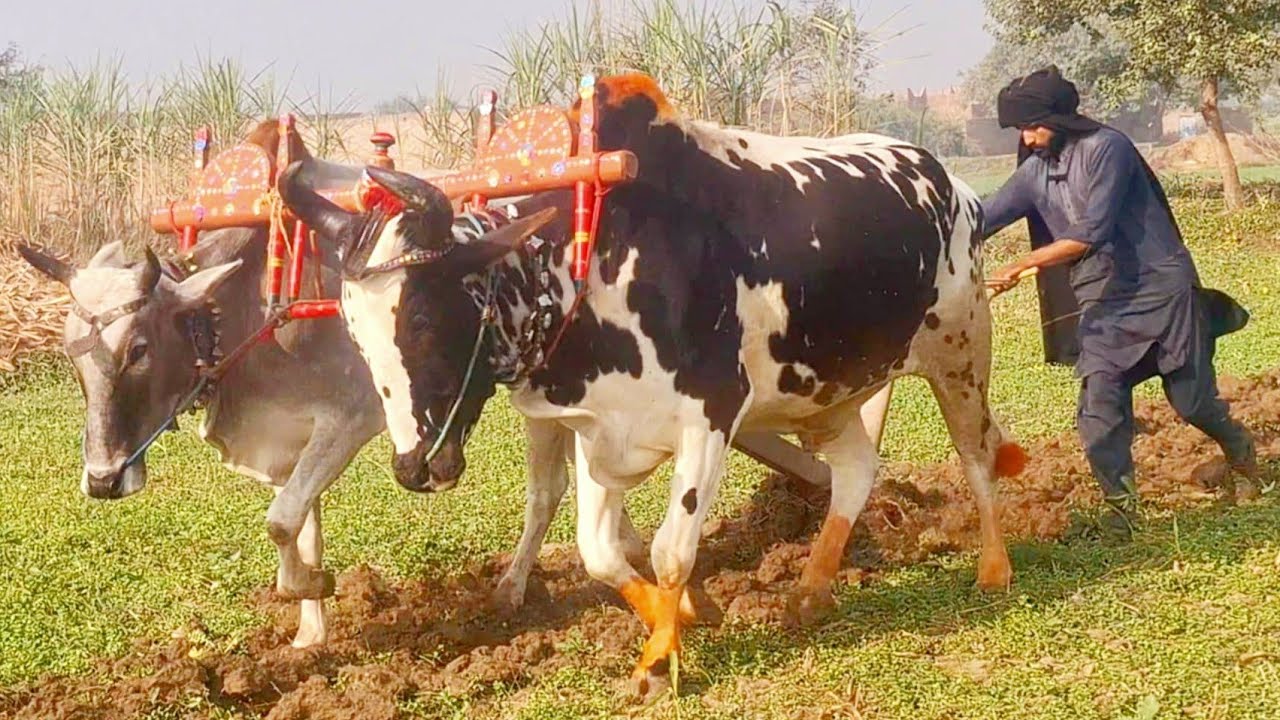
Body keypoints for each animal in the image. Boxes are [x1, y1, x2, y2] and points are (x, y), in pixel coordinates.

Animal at [14, 120, 598, 648]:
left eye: (138, 348)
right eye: (68, 351)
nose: (102, 479)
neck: (251, 311)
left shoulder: (350, 421)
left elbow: (281, 521)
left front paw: (313, 586)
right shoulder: (287, 441)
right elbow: (301, 528)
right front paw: (310, 628)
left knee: (547, 490)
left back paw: (517, 586)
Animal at [279, 73, 1029, 697]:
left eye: (425, 317)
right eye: (354, 330)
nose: (414, 466)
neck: (590, 265)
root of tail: (949, 181)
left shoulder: (711, 418)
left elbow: (672, 551)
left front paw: (658, 663)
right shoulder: (594, 430)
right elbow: (601, 555)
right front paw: (696, 614)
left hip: (961, 351)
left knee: (977, 456)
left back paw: (994, 569)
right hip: (826, 395)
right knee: (855, 471)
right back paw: (812, 590)